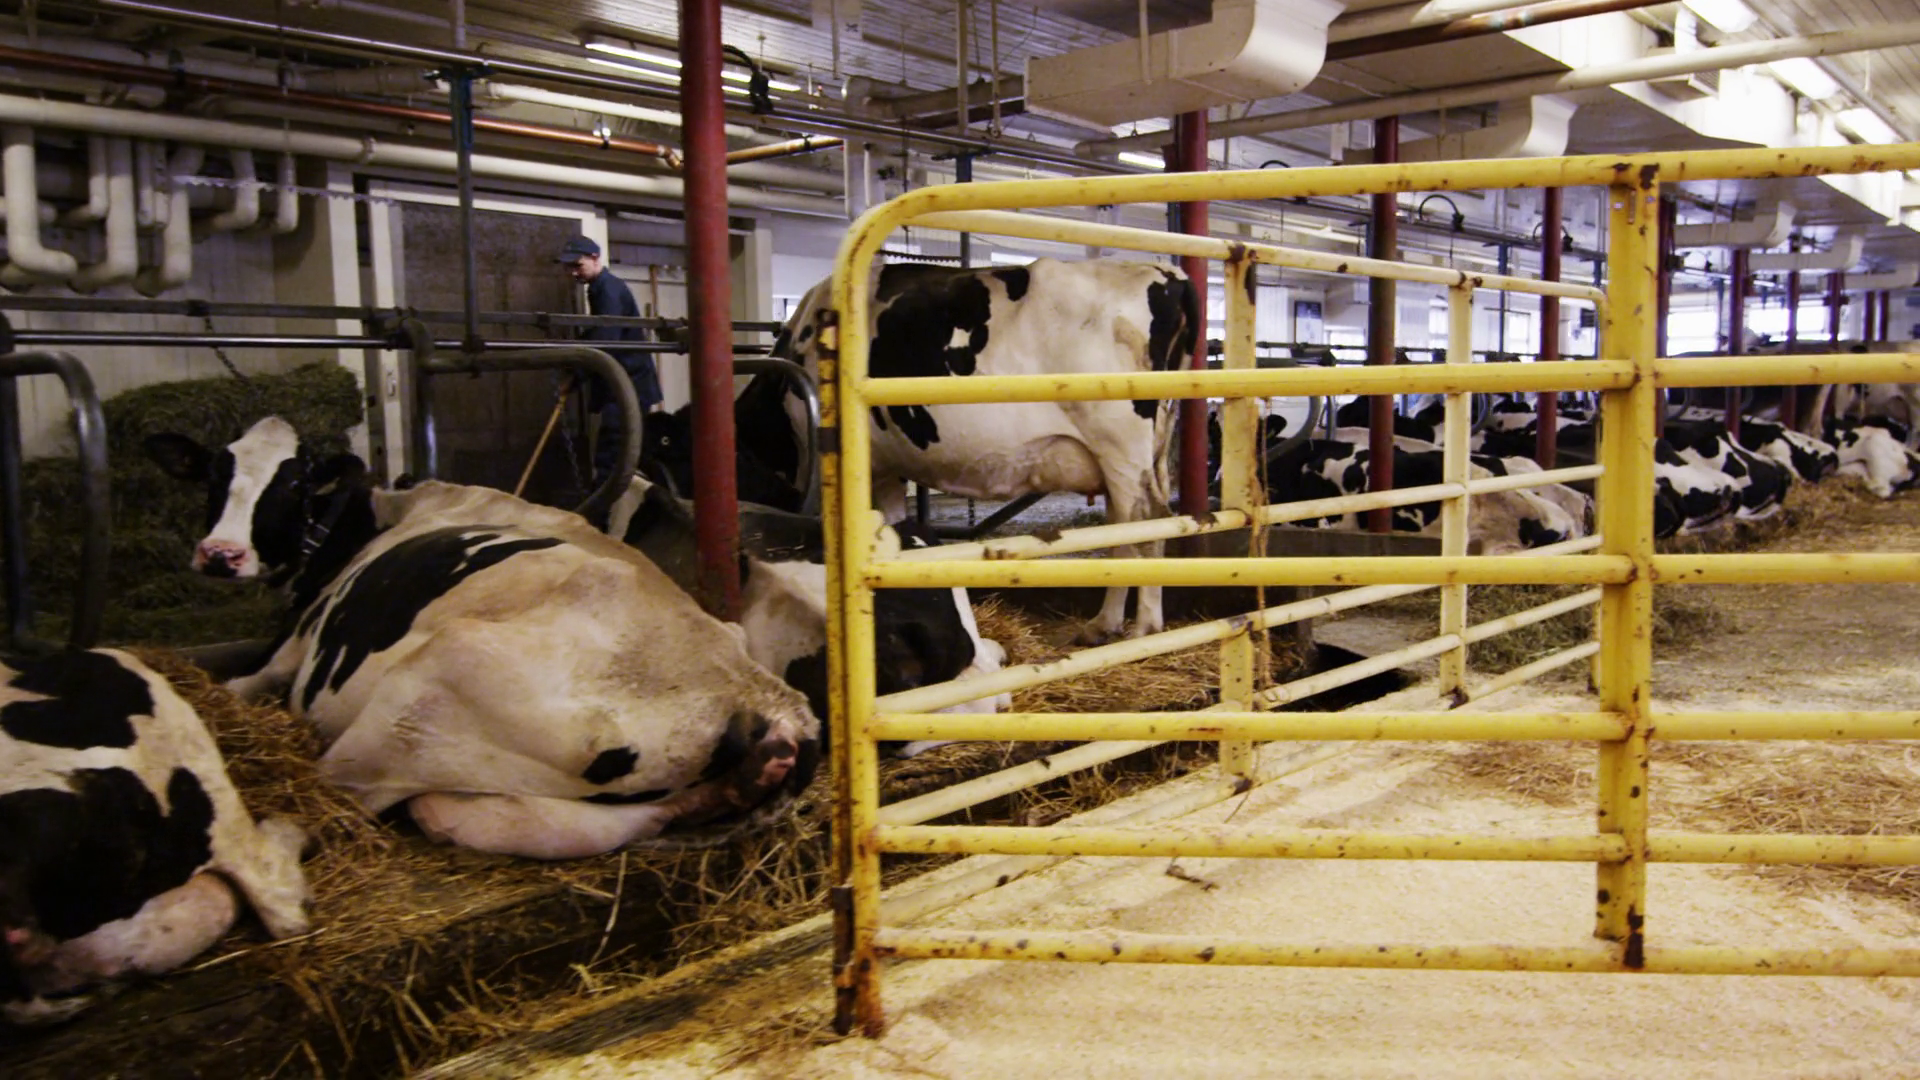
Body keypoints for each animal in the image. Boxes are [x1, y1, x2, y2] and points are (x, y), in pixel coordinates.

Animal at [144, 417, 820, 861]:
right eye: (215, 476)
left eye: (291, 485)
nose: (220, 554)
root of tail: (773, 706)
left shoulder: (292, 647)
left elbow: (240, 684)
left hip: (417, 697)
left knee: (342, 796)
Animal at [766, 257, 1199, 644]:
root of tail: (1167, 273)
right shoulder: (886, 469)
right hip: (1147, 451)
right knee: (1133, 527)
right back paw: (1117, 625)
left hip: (1120, 446)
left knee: (1147, 522)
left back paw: (1137, 627)